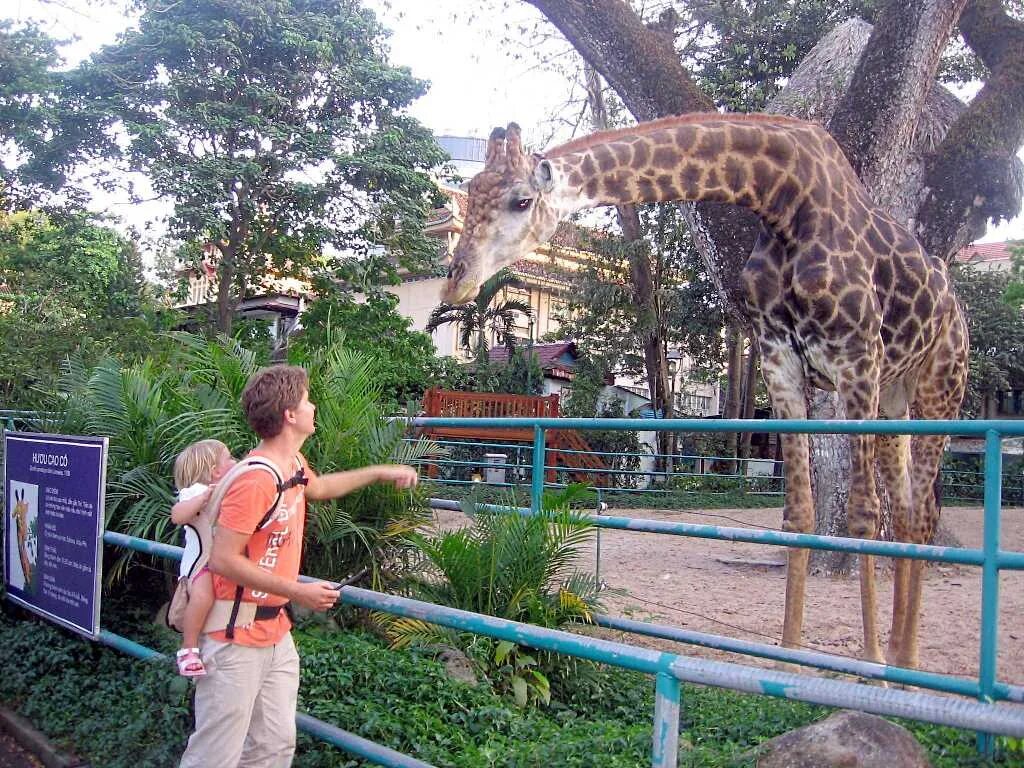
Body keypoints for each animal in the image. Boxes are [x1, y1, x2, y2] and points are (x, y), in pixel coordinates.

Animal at [442, 115, 966, 671]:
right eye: (471, 189)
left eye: (521, 201)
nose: (456, 282)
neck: (784, 201)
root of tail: (955, 306)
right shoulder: (781, 361)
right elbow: (799, 513)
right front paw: (789, 660)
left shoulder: (856, 357)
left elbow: (863, 513)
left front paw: (870, 668)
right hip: (894, 395)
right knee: (908, 511)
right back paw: (903, 655)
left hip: (938, 385)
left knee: (920, 512)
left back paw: (900, 664)